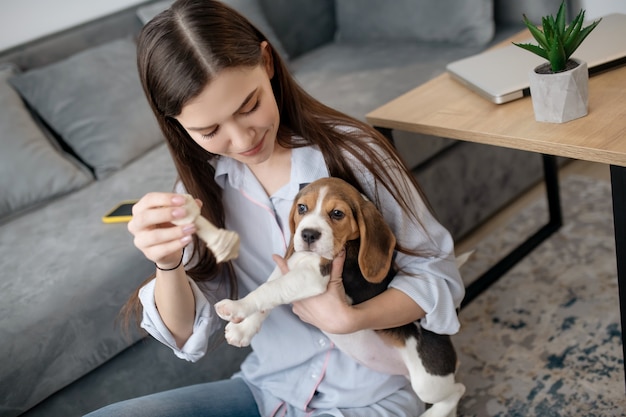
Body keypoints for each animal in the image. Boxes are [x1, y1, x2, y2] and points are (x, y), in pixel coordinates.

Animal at [214, 176, 464, 416]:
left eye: (337, 213)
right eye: (302, 208)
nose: (308, 234)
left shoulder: (313, 277)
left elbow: (269, 290)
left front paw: (235, 307)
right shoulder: (290, 265)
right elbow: (269, 291)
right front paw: (242, 330)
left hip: (428, 383)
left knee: (457, 391)